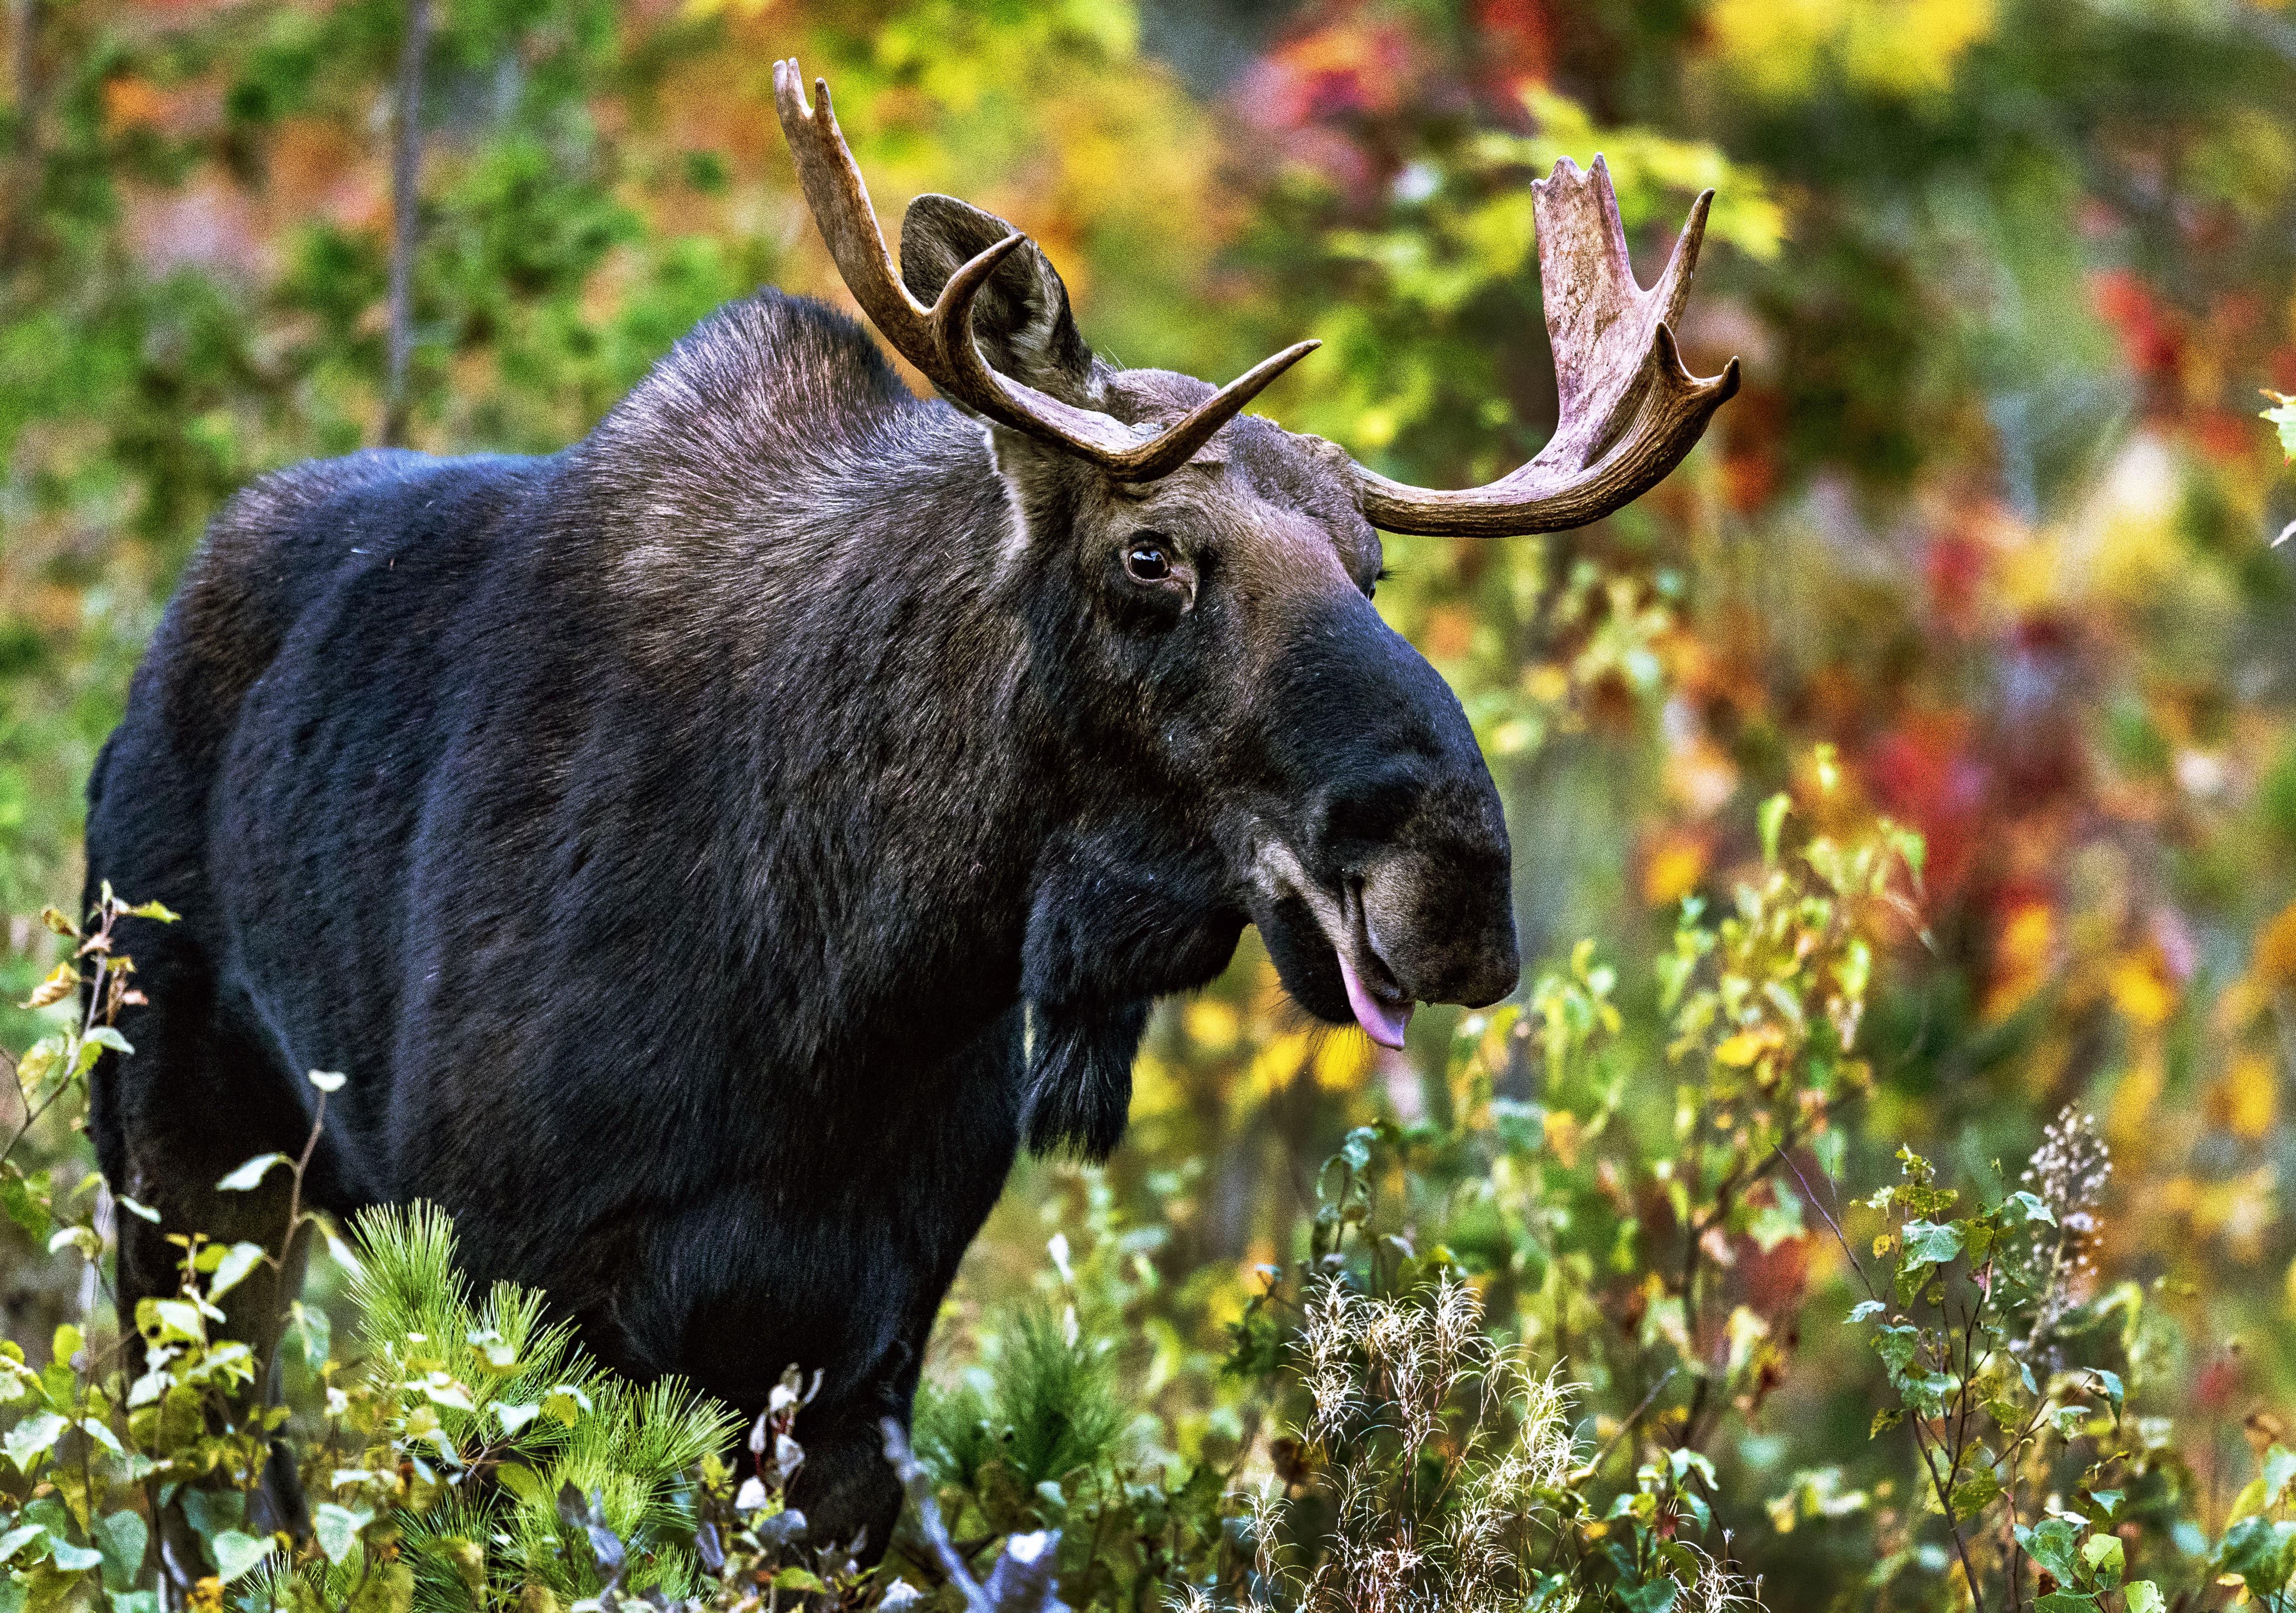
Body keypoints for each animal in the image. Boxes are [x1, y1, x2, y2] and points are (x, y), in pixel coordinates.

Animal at [81, 61, 1736, 1562]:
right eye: (1148, 554)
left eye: (1370, 567)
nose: (1457, 880)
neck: (845, 989)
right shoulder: (517, 1279)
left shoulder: (868, 1341)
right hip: (175, 1167)